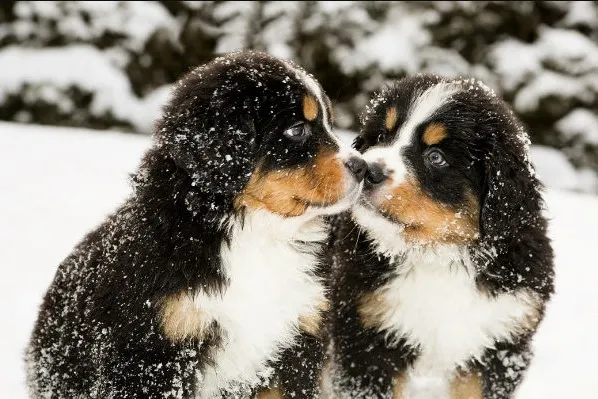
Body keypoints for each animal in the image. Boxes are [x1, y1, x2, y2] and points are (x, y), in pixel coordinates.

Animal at [27, 50, 366, 399]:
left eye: (329, 123)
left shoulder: (297, 344)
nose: (363, 168)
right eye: (297, 129)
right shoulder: (156, 352)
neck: (256, 234)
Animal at [330, 75, 556, 399]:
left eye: (435, 157)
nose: (367, 170)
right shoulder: (367, 338)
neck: (437, 256)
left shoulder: (500, 344)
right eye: (382, 135)